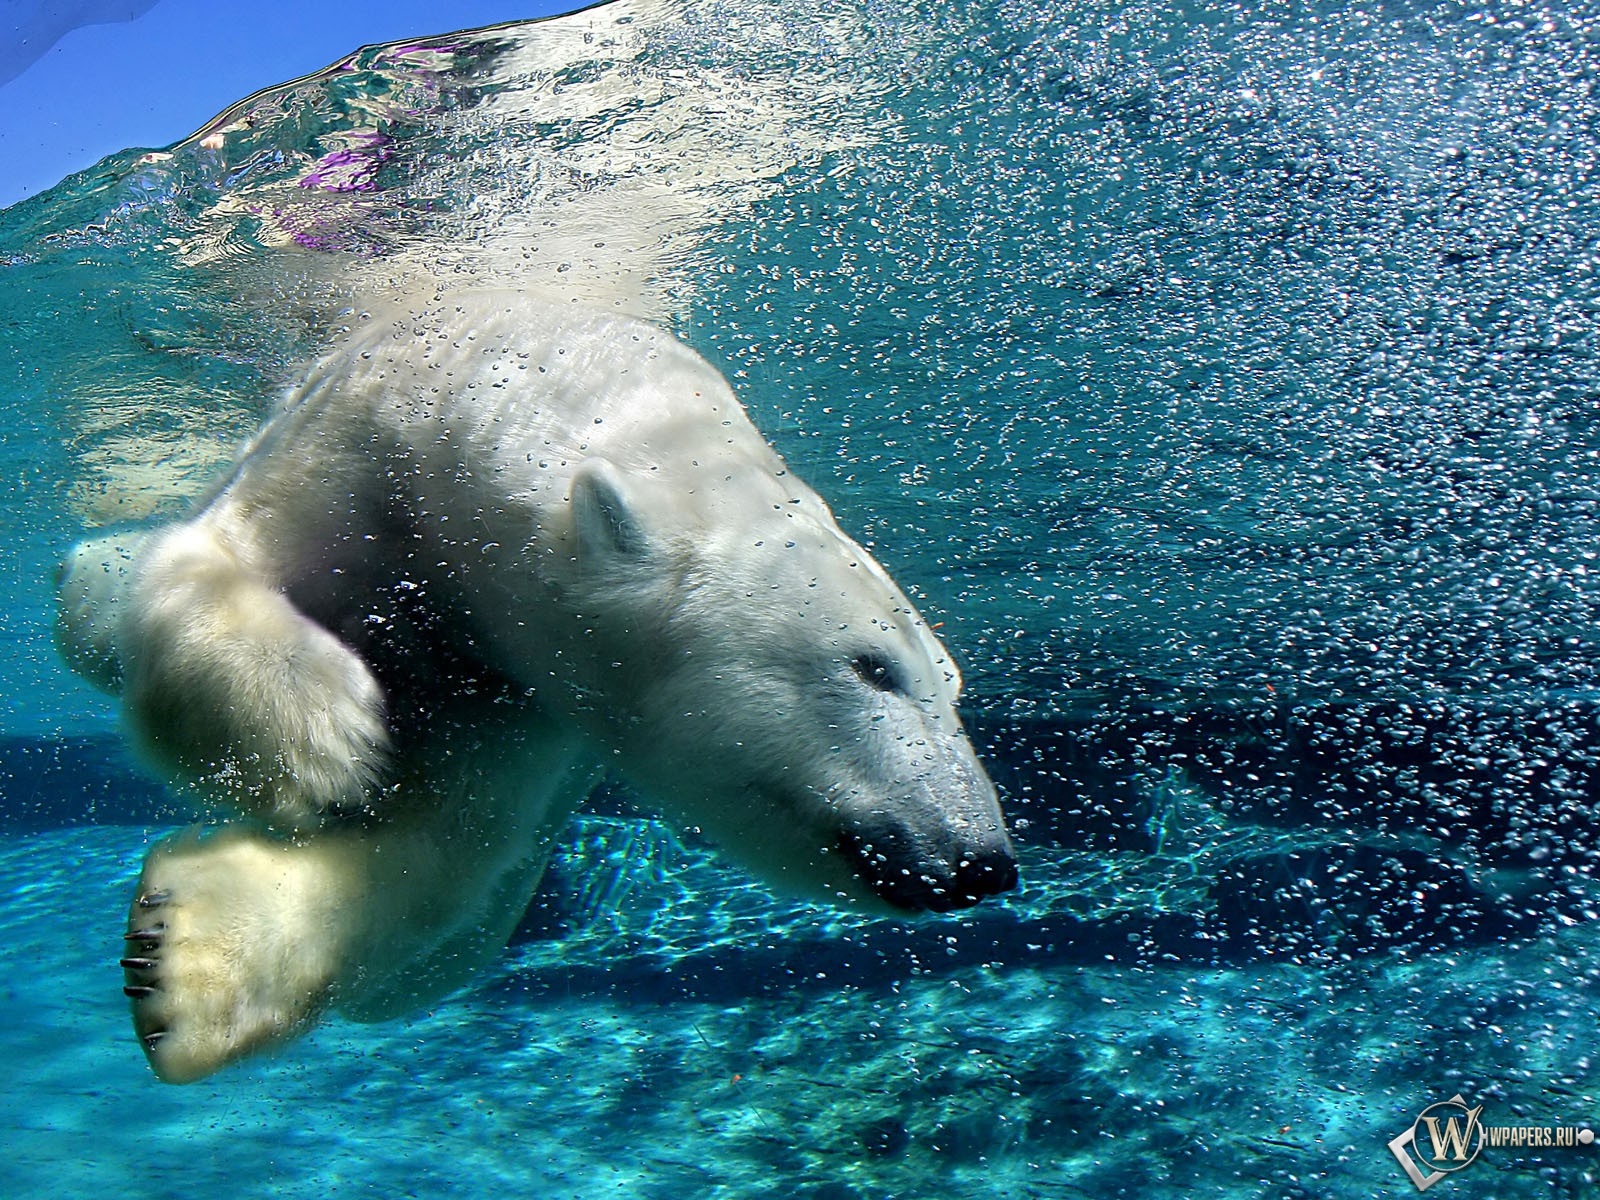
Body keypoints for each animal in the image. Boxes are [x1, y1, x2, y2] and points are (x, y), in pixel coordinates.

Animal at [62, 286, 1017, 1088]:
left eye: (953, 689)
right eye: (872, 666)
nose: (981, 861)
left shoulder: (530, 695)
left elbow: (447, 843)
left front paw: (182, 958)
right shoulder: (357, 446)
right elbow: (213, 562)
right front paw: (324, 737)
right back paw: (90, 573)